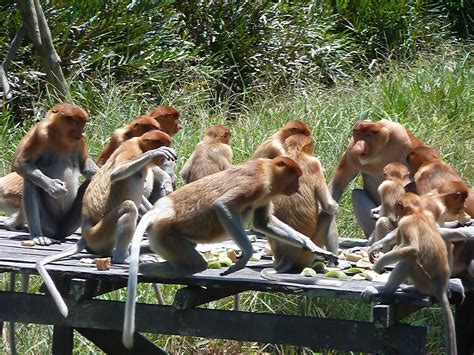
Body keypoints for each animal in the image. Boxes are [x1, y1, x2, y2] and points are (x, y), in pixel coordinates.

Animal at [12, 104, 99, 246]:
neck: (60, 135)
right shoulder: (40, 133)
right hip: (48, 225)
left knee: (90, 183)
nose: (82, 132)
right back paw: (38, 236)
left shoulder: (80, 140)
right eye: (75, 121)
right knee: (30, 182)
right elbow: (20, 164)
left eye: (83, 122)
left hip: (69, 224)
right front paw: (54, 187)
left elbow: (84, 164)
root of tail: (59, 231)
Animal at [35, 130, 176, 318]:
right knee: (129, 207)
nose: (168, 159)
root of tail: (86, 234)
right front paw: (154, 153)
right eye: (166, 145)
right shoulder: (131, 149)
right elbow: (116, 173)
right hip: (100, 234)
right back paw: (123, 257)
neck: (140, 144)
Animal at [122, 156, 336, 348]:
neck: (267, 170)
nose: (298, 187)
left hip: (163, 235)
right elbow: (222, 205)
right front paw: (245, 257)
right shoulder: (257, 184)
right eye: (296, 176)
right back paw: (146, 267)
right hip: (165, 232)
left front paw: (311, 245)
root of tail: (160, 210)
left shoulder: (265, 195)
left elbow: (263, 222)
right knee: (196, 264)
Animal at [264, 136, 338, 272]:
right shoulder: (315, 164)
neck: (295, 153)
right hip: (306, 255)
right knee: (328, 215)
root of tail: (287, 256)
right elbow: (329, 206)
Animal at [318, 121, 422, 254]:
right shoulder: (351, 148)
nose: (358, 147)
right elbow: (339, 184)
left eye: (368, 135)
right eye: (358, 133)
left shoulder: (403, 139)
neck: (380, 151)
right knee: (357, 194)